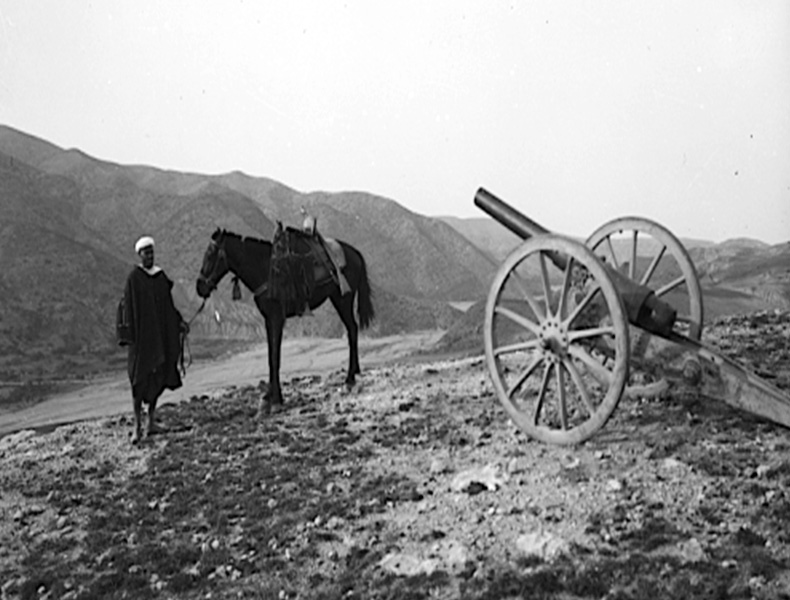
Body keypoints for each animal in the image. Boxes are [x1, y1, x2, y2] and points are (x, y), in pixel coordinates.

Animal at [195, 227, 374, 410]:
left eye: (210, 255)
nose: (200, 287)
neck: (265, 269)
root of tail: (355, 253)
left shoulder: (277, 318)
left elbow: (276, 357)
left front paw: (276, 398)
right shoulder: (268, 319)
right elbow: (270, 355)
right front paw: (269, 396)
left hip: (343, 299)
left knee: (352, 329)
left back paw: (350, 378)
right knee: (352, 329)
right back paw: (355, 372)